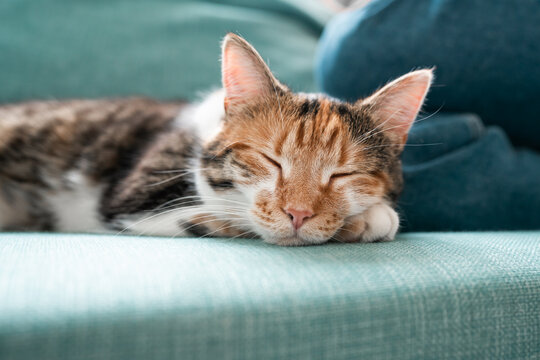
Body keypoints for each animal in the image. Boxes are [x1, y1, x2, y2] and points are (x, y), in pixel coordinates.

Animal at [0, 33, 432, 246]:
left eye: (343, 175)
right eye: (270, 160)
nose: (298, 213)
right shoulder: (136, 201)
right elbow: (228, 218)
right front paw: (370, 219)